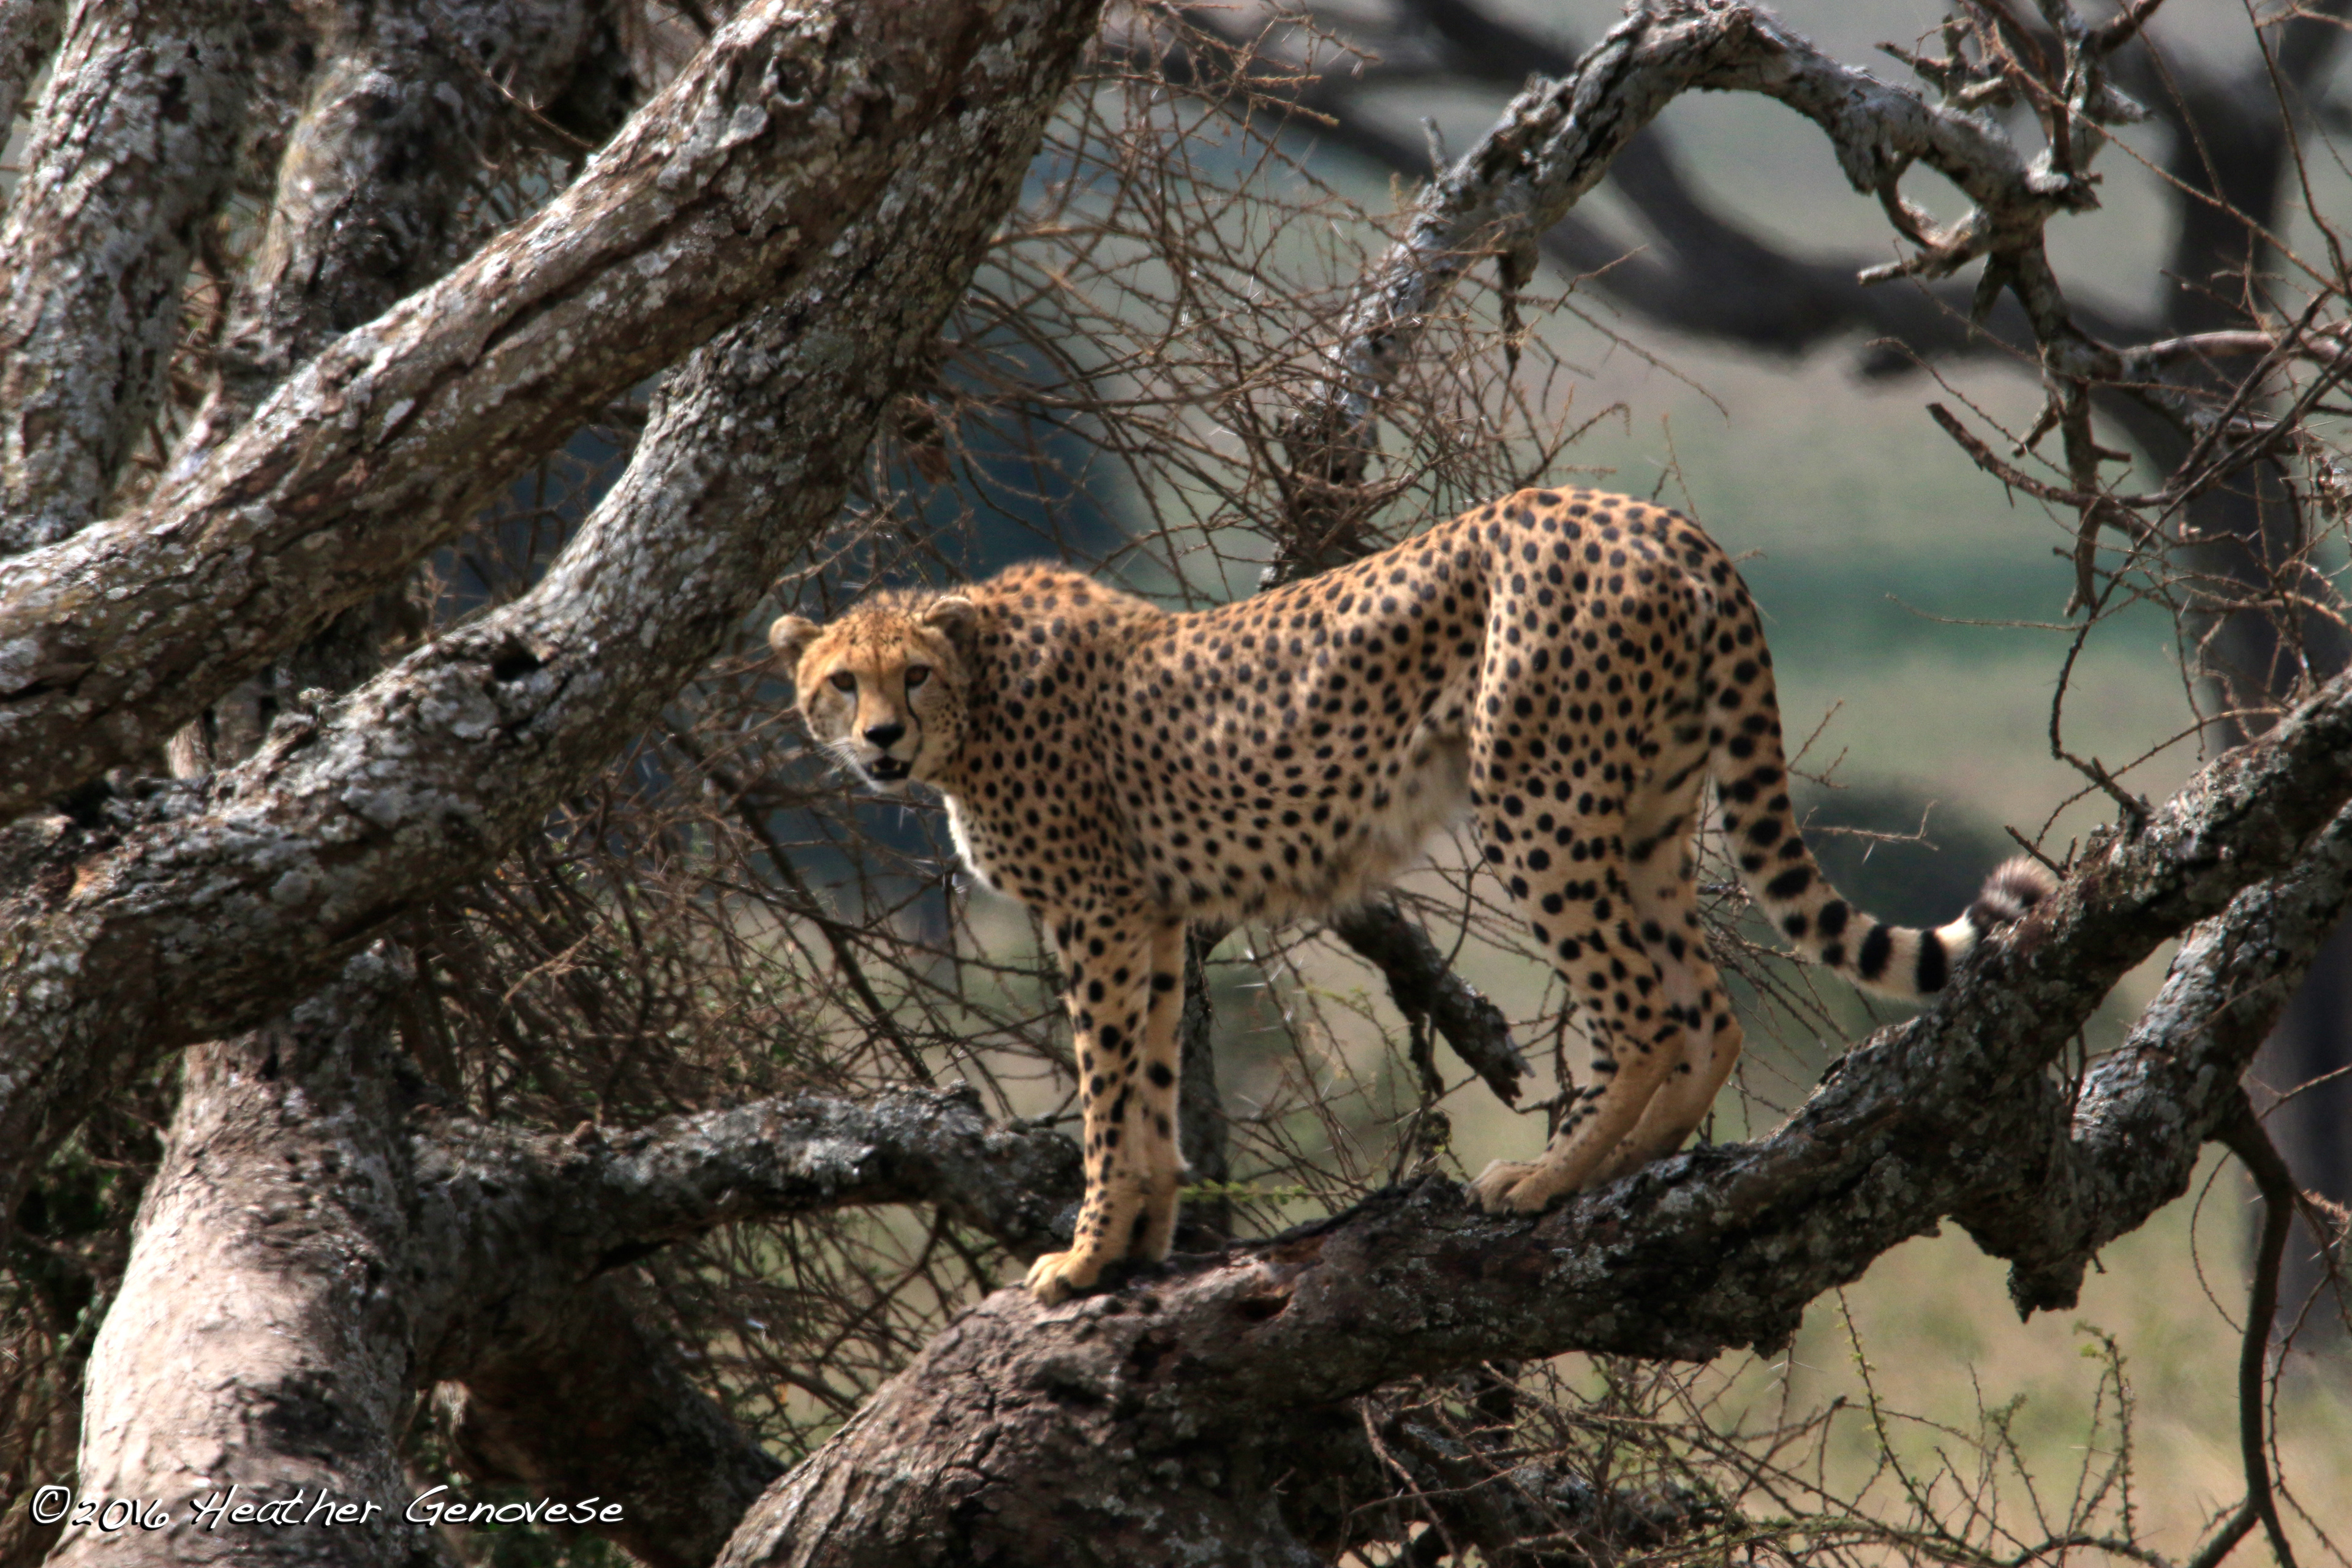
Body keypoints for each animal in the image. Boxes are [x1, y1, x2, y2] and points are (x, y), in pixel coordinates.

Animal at [771, 487, 2054, 1303]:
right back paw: (1631, 1169)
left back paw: (1548, 1182)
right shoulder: (1152, 916)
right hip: (1643, 815)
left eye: (912, 676)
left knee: (1647, 1008)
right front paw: (1134, 1247)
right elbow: (1147, 1088)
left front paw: (1084, 1260)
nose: (878, 741)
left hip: (1536, 803)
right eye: (839, 682)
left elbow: (1104, 1092)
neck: (979, 696)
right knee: (1707, 1004)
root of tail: (1655, 518)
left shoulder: (1097, 911)